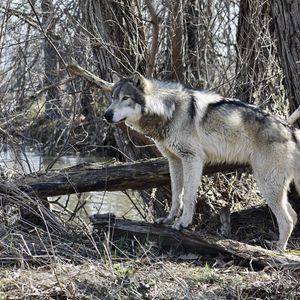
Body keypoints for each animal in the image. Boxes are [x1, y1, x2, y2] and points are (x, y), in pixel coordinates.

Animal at [103, 74, 300, 252]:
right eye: (112, 98)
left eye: (125, 98)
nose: (106, 115)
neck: (169, 111)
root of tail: (291, 131)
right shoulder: (174, 161)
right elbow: (176, 196)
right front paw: (169, 219)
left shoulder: (192, 159)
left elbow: (188, 196)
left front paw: (183, 223)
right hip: (272, 187)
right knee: (294, 215)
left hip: (266, 184)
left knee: (287, 220)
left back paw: (277, 252)